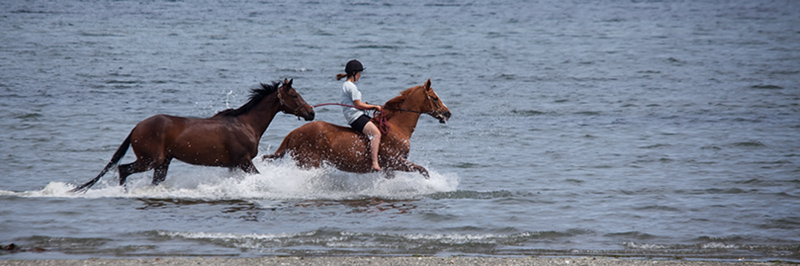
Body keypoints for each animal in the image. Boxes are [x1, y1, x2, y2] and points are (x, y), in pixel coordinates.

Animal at [71, 78, 316, 192]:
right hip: (151, 160)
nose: (311, 113)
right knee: (123, 169)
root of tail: (136, 128)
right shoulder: (244, 161)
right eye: (295, 95)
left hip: (163, 163)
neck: (245, 124)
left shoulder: (234, 165)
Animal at [262, 79, 450, 179]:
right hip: (308, 163)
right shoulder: (395, 161)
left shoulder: (391, 168)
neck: (397, 127)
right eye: (434, 98)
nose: (448, 113)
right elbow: (423, 170)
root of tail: (293, 133)